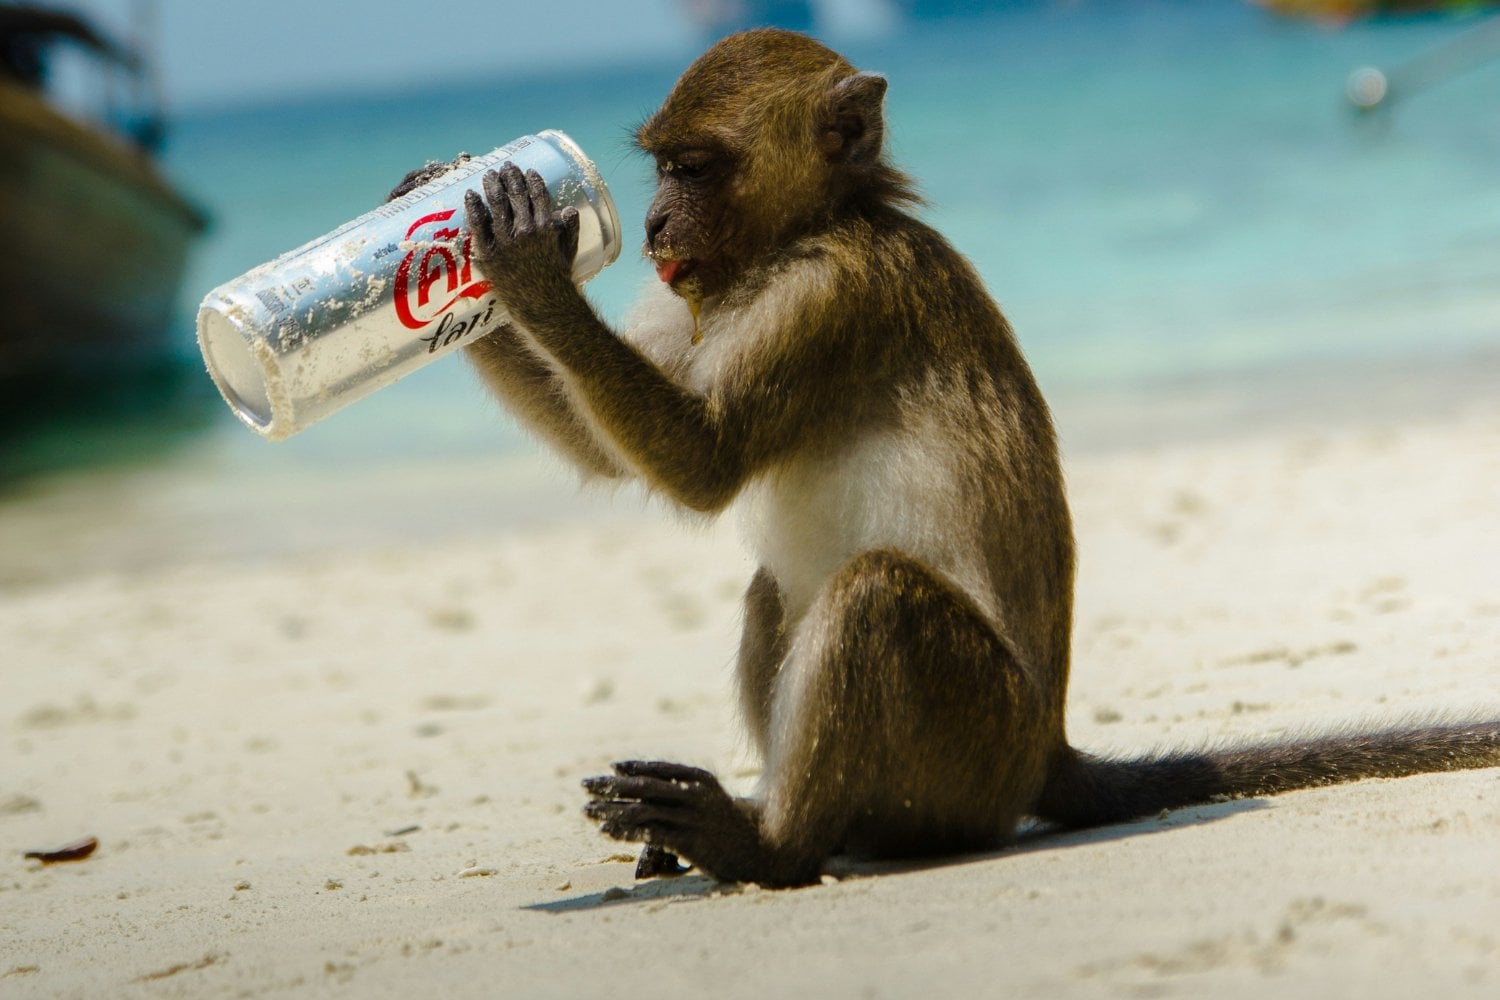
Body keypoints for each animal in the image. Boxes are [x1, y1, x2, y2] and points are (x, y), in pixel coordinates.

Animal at [391, 29, 1500, 888]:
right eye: (660, 169)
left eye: (694, 167)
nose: (656, 222)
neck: (817, 226)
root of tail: (1043, 751)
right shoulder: (698, 291)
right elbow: (620, 454)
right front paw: (437, 242)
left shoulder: (832, 294)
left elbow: (704, 464)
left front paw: (523, 261)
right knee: (778, 589)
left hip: (976, 751)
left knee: (874, 593)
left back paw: (772, 846)